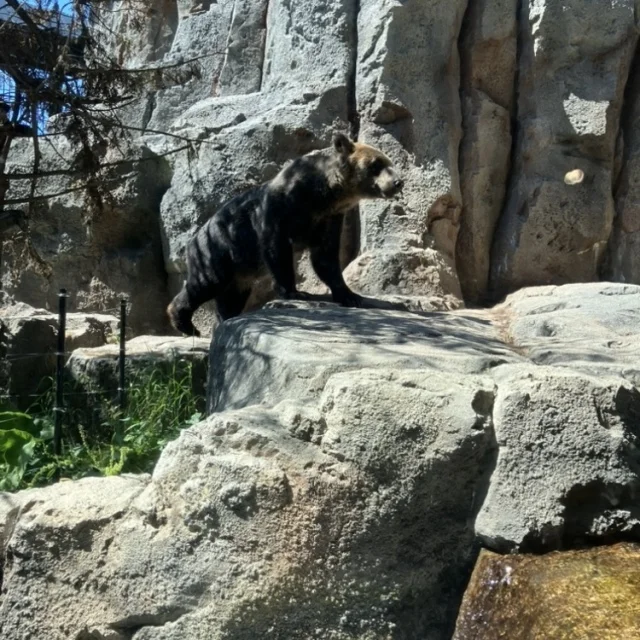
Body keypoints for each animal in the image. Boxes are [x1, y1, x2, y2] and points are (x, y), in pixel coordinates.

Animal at [168, 133, 402, 338]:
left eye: (388, 161)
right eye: (376, 164)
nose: (398, 182)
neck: (324, 194)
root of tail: (191, 240)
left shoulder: (330, 218)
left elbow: (325, 257)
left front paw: (351, 295)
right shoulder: (282, 207)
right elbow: (276, 248)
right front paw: (296, 292)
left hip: (240, 273)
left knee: (230, 298)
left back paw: (223, 322)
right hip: (220, 251)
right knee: (204, 283)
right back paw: (185, 323)